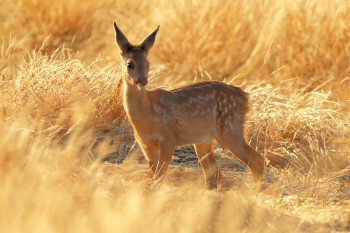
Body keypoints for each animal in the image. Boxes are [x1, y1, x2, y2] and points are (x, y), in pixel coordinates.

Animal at [113, 21, 264, 189]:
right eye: (130, 64)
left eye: (148, 63)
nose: (142, 81)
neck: (146, 111)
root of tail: (244, 96)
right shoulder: (145, 144)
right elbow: (156, 174)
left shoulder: (169, 138)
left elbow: (160, 175)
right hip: (205, 139)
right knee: (214, 172)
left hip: (229, 129)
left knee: (257, 160)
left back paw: (253, 190)